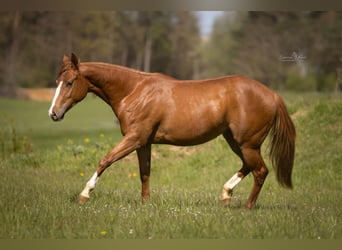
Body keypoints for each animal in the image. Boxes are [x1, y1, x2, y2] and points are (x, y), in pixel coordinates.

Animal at [48, 53, 296, 209]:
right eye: (58, 81)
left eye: (69, 82)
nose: (53, 114)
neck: (134, 91)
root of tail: (272, 95)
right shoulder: (144, 143)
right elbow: (144, 172)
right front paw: (145, 203)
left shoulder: (134, 139)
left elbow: (105, 160)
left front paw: (84, 194)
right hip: (236, 141)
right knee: (249, 167)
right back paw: (226, 194)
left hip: (247, 143)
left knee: (260, 171)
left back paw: (247, 206)